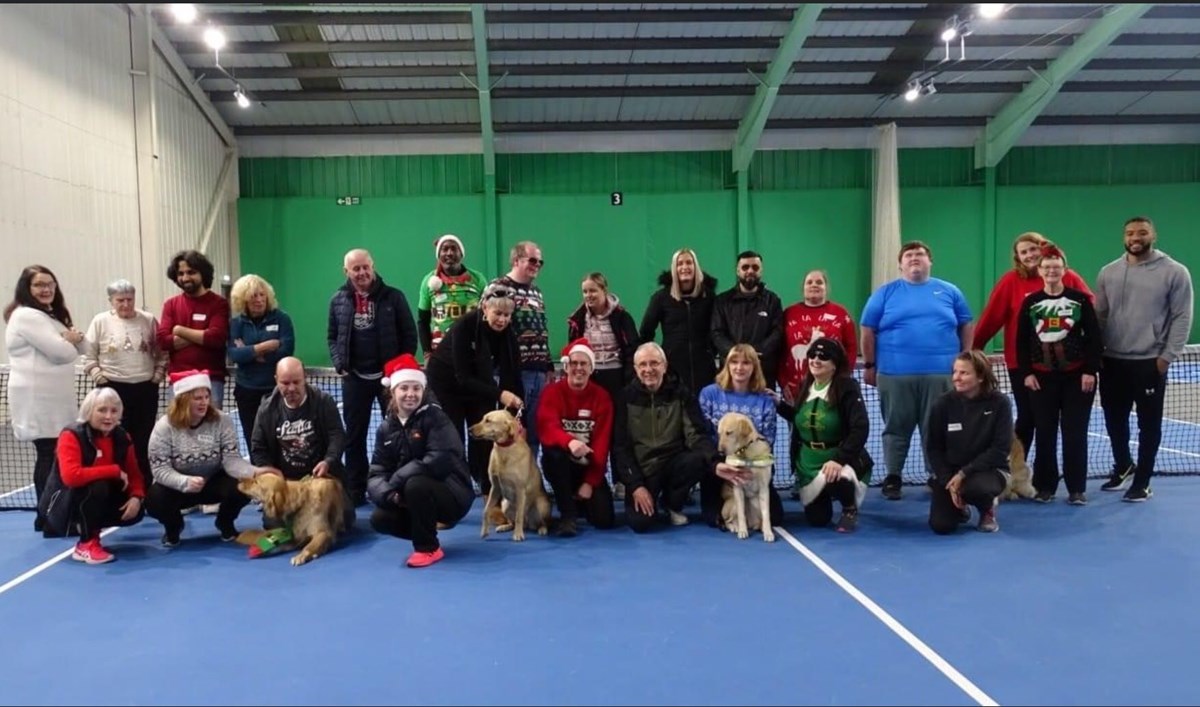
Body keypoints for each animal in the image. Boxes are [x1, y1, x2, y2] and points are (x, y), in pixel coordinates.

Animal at [468, 408, 552, 540]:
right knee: (512, 522)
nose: (469, 430)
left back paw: (541, 529)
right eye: (482, 419)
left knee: (541, 522)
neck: (504, 450)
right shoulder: (495, 487)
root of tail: (528, 524)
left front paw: (518, 535)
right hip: (505, 505)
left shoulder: (520, 489)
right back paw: (505, 527)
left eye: (488, 421)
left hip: (542, 505)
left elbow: (519, 516)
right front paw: (484, 531)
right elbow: (486, 510)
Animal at [715, 410, 772, 542]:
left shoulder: (764, 489)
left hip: (756, 503)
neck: (746, 452)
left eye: (729, 432)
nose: (720, 451)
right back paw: (735, 527)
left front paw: (768, 532)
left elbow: (766, 514)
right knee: (728, 520)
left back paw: (760, 527)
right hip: (733, 504)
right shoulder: (738, 488)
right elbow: (741, 514)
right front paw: (742, 531)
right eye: (719, 434)